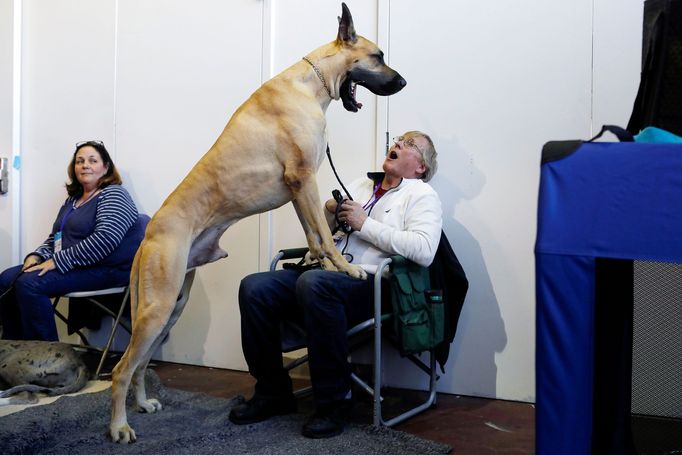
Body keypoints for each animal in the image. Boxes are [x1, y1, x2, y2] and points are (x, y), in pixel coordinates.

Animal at [107, 3, 404, 444]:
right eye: (378, 56)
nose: (403, 81)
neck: (309, 84)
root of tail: (146, 236)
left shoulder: (300, 191)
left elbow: (316, 236)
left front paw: (320, 265)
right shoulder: (304, 180)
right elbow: (325, 236)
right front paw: (346, 268)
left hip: (171, 306)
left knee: (141, 363)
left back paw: (142, 405)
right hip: (157, 305)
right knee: (120, 369)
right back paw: (119, 426)